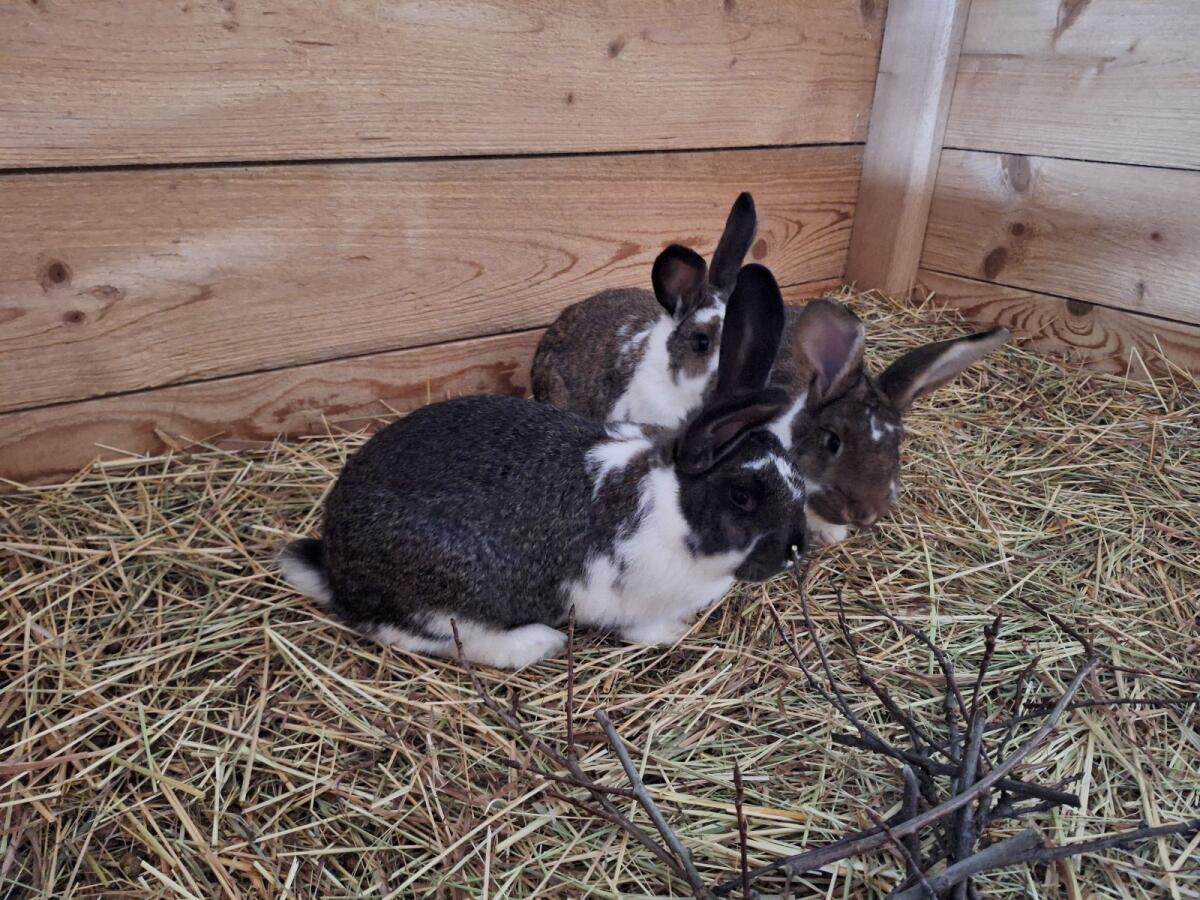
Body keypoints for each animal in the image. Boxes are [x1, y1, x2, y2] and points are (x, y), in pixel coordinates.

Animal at [280, 264, 815, 670]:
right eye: (741, 495)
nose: (796, 548)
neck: (674, 503)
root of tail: (334, 565)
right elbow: (642, 629)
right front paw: (672, 633)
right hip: (443, 598)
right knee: (426, 635)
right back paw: (537, 643)